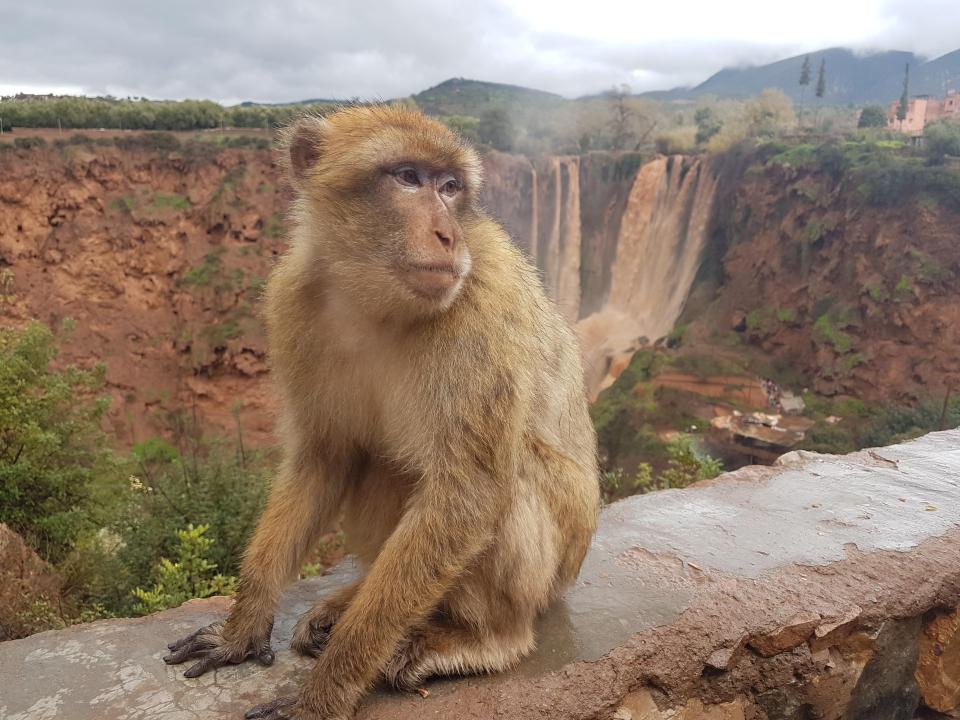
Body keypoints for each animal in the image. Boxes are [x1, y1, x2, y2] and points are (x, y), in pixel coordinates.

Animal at [165, 105, 600, 720]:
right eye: (409, 178)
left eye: (450, 187)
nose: (448, 235)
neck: (373, 302)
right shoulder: (292, 302)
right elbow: (325, 458)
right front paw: (241, 629)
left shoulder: (480, 308)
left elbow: (466, 497)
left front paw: (324, 693)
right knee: (380, 466)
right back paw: (352, 598)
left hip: (555, 569)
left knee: (504, 478)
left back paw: (483, 638)